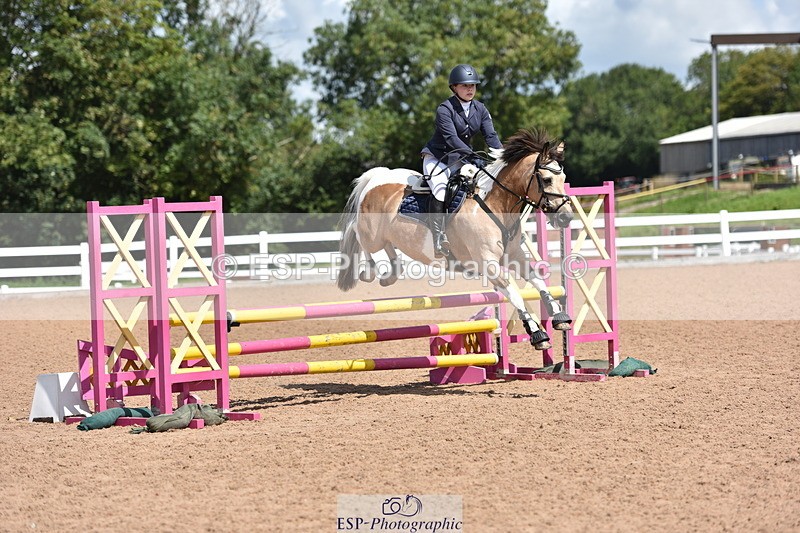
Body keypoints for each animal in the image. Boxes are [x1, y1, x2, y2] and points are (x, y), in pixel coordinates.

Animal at [336, 128, 574, 350]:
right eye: (547, 179)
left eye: (563, 178)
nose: (566, 217)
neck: (496, 204)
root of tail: (377, 178)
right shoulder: (488, 264)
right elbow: (515, 294)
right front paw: (537, 334)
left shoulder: (515, 256)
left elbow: (537, 280)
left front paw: (559, 316)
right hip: (371, 234)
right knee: (358, 234)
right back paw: (370, 271)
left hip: (387, 236)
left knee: (388, 248)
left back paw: (391, 274)